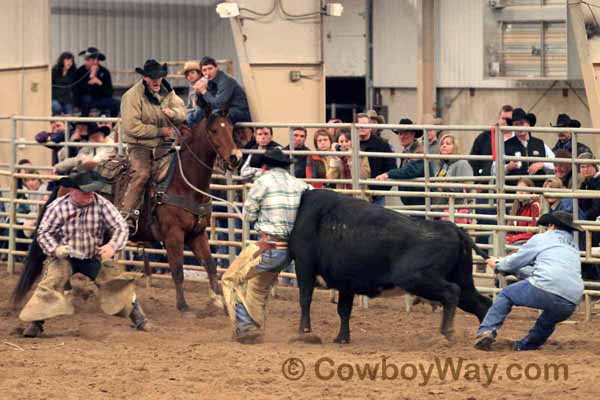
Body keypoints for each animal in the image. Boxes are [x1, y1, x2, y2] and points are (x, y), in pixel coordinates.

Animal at [12, 108, 241, 314]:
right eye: (214, 130)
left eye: (231, 129)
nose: (236, 157)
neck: (181, 183)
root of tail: (67, 178)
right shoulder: (173, 235)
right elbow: (177, 270)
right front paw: (183, 306)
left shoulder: (197, 234)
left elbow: (210, 266)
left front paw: (219, 302)